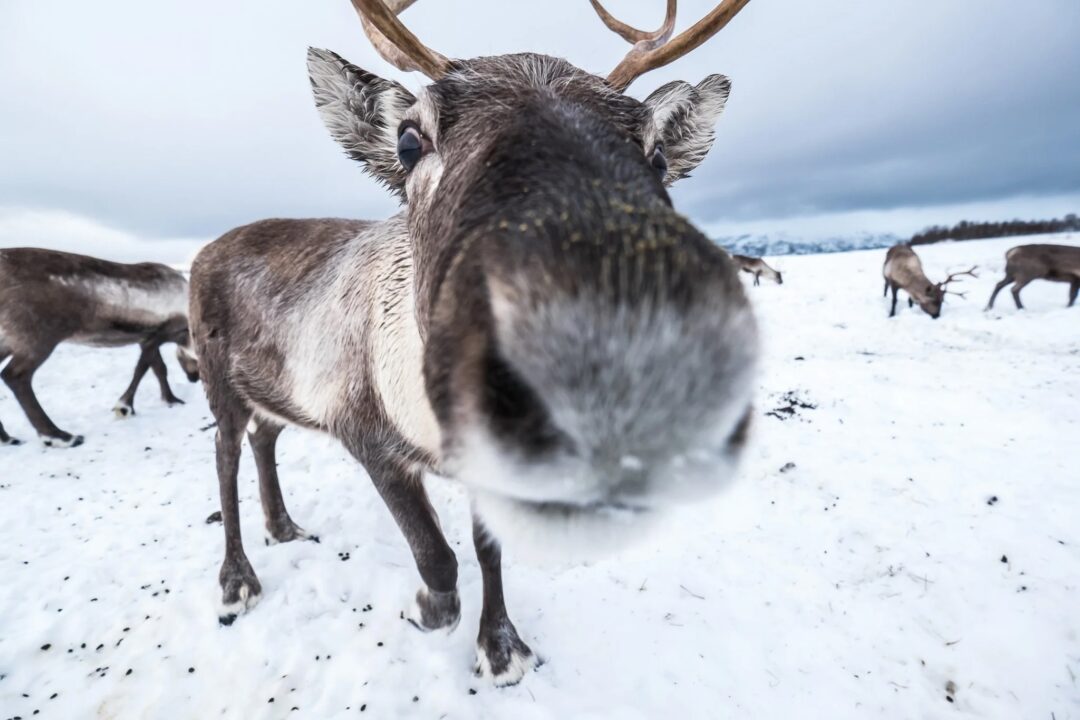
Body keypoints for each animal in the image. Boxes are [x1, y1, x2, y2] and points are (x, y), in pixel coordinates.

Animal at [0, 248, 199, 448]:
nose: (194, 378)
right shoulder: (157, 334)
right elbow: (143, 367)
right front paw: (124, 406)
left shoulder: (146, 338)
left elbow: (158, 368)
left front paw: (170, 399)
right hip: (40, 337)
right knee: (15, 375)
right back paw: (60, 436)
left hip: (9, 340)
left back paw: (7, 437)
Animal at [189, 0, 759, 686]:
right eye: (410, 140)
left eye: (657, 155)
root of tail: (207, 248)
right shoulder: (364, 434)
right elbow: (437, 558)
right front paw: (425, 609)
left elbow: (489, 551)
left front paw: (502, 646)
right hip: (218, 381)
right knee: (225, 457)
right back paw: (236, 580)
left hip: (273, 390)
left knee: (264, 438)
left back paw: (283, 527)